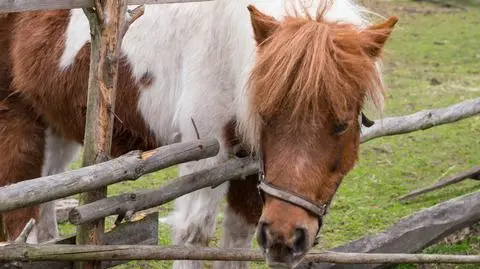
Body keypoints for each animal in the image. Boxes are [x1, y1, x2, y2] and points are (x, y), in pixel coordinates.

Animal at [0, 1, 398, 266]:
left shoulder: (250, 170)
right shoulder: (207, 160)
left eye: (341, 124)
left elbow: (236, 242)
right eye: (266, 117)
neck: (228, 52)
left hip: (55, 124)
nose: (287, 238)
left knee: (46, 196)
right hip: (17, 119)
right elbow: (193, 237)